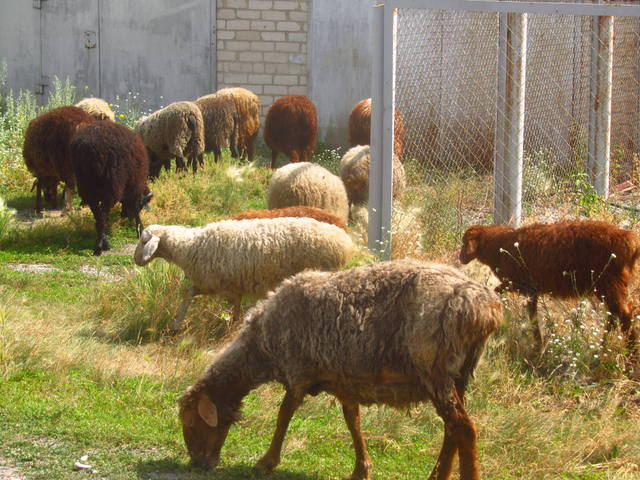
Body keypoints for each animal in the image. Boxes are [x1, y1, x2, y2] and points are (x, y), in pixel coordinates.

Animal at [70, 120, 154, 255]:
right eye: (142, 205)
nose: (128, 220)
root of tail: (89, 147)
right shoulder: (135, 189)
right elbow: (136, 210)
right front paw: (140, 230)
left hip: (87, 188)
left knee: (98, 218)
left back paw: (102, 243)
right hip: (111, 187)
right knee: (102, 218)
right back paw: (100, 247)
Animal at [135, 218, 356, 330]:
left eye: (144, 241)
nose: (136, 260)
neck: (189, 247)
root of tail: (344, 242)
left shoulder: (219, 284)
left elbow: (194, 296)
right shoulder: (215, 284)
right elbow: (190, 297)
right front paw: (176, 324)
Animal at [179, 258, 500, 480]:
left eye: (191, 423)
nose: (198, 463)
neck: (261, 347)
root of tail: (486, 308)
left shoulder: (298, 371)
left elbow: (283, 416)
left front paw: (265, 462)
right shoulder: (344, 378)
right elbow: (352, 421)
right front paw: (361, 469)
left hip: (435, 369)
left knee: (464, 428)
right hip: (458, 375)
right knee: (452, 429)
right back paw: (437, 475)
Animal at [460, 219, 640, 350]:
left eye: (464, 243)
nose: (460, 258)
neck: (500, 246)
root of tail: (628, 239)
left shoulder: (521, 284)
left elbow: (499, 291)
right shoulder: (530, 291)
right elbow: (532, 315)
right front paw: (538, 343)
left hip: (610, 285)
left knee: (624, 315)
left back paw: (628, 352)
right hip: (608, 288)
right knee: (615, 315)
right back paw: (602, 348)